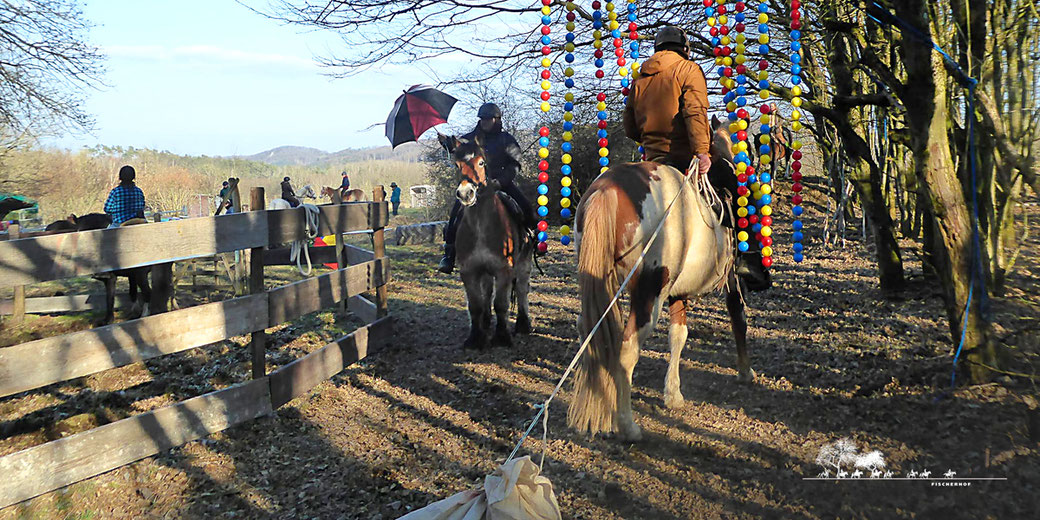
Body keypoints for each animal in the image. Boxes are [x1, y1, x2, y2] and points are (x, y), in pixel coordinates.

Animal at [569, 127, 757, 440]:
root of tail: (609, 189)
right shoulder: (729, 279)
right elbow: (737, 317)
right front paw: (745, 371)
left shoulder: (677, 292)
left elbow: (678, 334)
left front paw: (673, 394)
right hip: (649, 293)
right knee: (627, 348)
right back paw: (628, 426)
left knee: (589, 332)